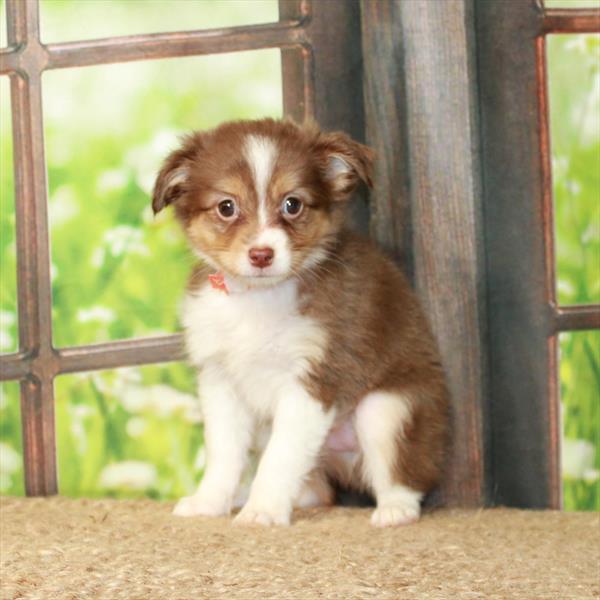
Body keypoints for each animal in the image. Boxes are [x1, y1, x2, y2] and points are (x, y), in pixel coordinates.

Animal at [152, 117, 448, 524]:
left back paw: (394, 510)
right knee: (316, 489)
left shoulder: (313, 380)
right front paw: (209, 502)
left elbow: (281, 457)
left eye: (292, 204)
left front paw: (262, 511)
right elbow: (223, 454)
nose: (262, 254)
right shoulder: (220, 380)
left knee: (404, 475)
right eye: (226, 207)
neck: (257, 299)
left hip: (384, 410)